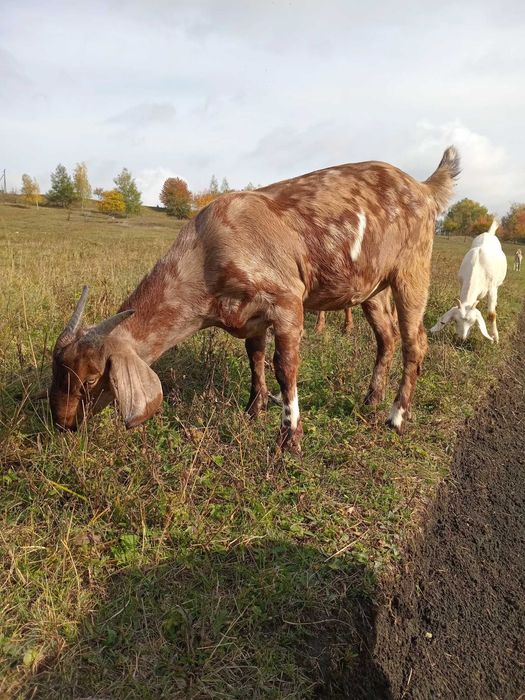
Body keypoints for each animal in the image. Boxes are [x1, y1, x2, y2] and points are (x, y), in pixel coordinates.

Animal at [49, 147, 460, 452]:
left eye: (91, 378)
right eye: (58, 372)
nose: (62, 422)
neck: (207, 253)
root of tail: (423, 187)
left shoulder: (287, 300)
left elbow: (284, 367)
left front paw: (289, 439)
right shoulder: (250, 316)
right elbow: (255, 357)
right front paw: (253, 410)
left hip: (412, 269)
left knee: (415, 341)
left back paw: (396, 416)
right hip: (372, 288)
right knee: (386, 336)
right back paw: (371, 399)